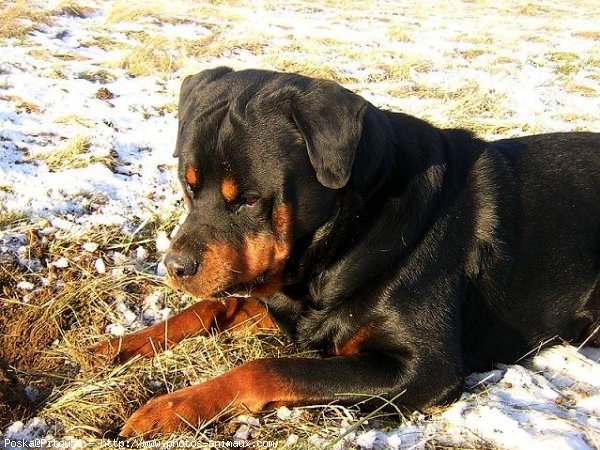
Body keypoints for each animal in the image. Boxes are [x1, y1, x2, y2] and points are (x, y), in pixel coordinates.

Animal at [95, 67, 600, 440]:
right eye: (189, 186)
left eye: (249, 200)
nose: (173, 267)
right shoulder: (293, 308)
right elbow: (209, 308)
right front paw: (117, 347)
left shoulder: (423, 369)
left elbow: (266, 369)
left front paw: (169, 407)